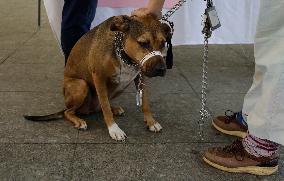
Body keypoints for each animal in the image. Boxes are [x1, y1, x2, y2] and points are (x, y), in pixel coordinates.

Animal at [25, 14, 171, 141]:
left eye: (163, 43)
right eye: (143, 43)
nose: (161, 69)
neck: (123, 55)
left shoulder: (141, 77)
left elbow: (145, 103)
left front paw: (151, 122)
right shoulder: (99, 77)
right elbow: (105, 107)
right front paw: (114, 129)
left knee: (98, 105)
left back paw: (113, 109)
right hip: (81, 85)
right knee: (69, 112)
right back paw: (79, 121)